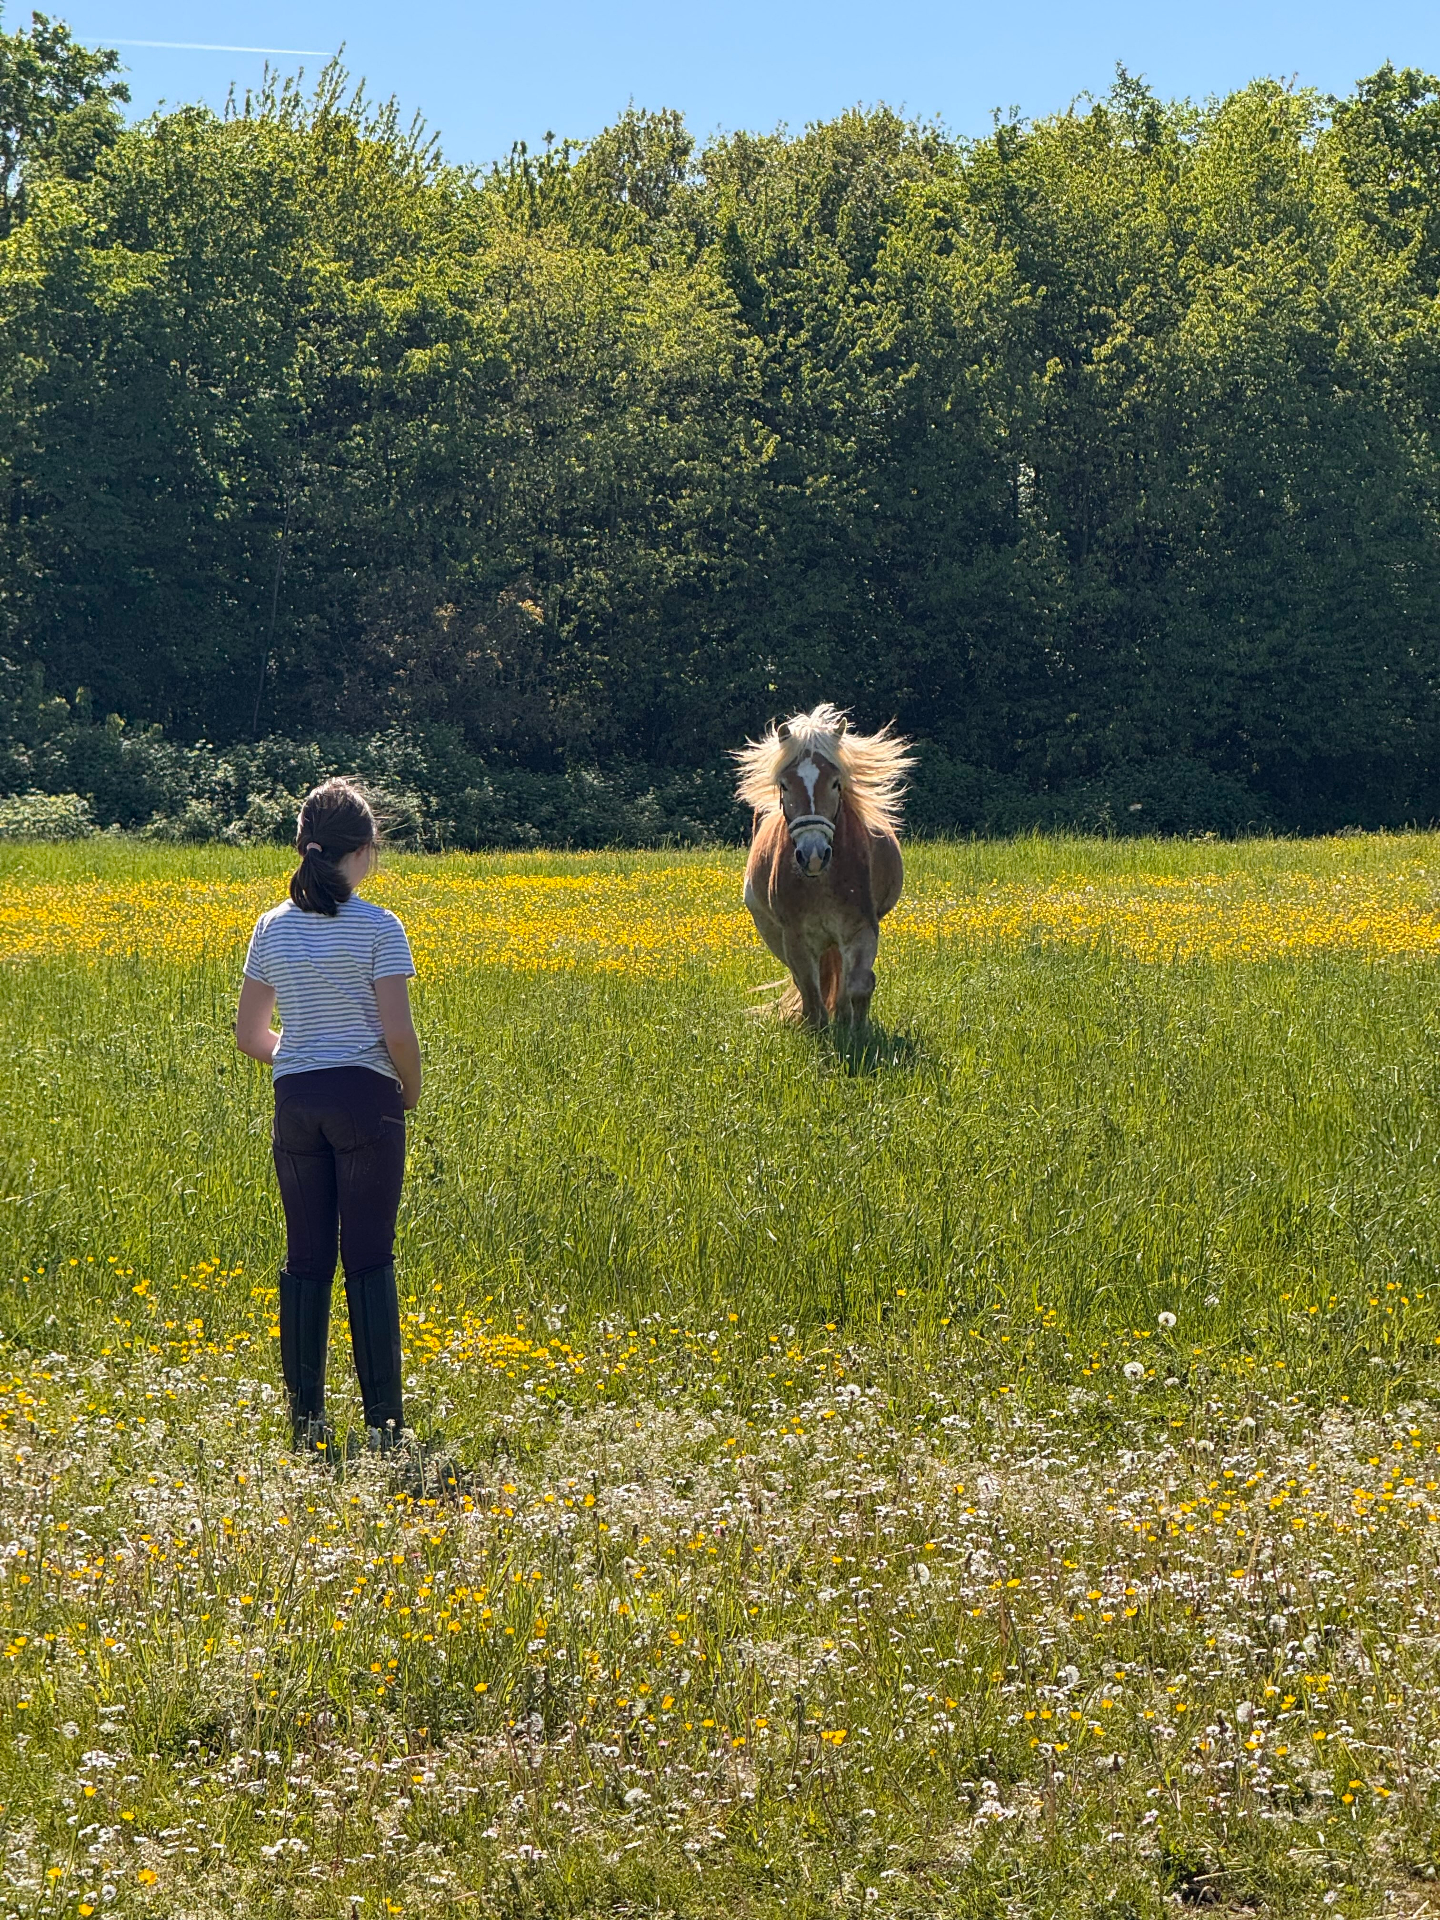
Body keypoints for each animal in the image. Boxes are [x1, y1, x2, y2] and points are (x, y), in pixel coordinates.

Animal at [734, 702, 914, 1027]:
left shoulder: (862, 928)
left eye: (835, 783)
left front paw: (856, 1030)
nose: (814, 855)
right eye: (785, 785)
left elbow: (858, 985)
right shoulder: (794, 937)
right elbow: (809, 990)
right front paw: (816, 1027)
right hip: (771, 931)